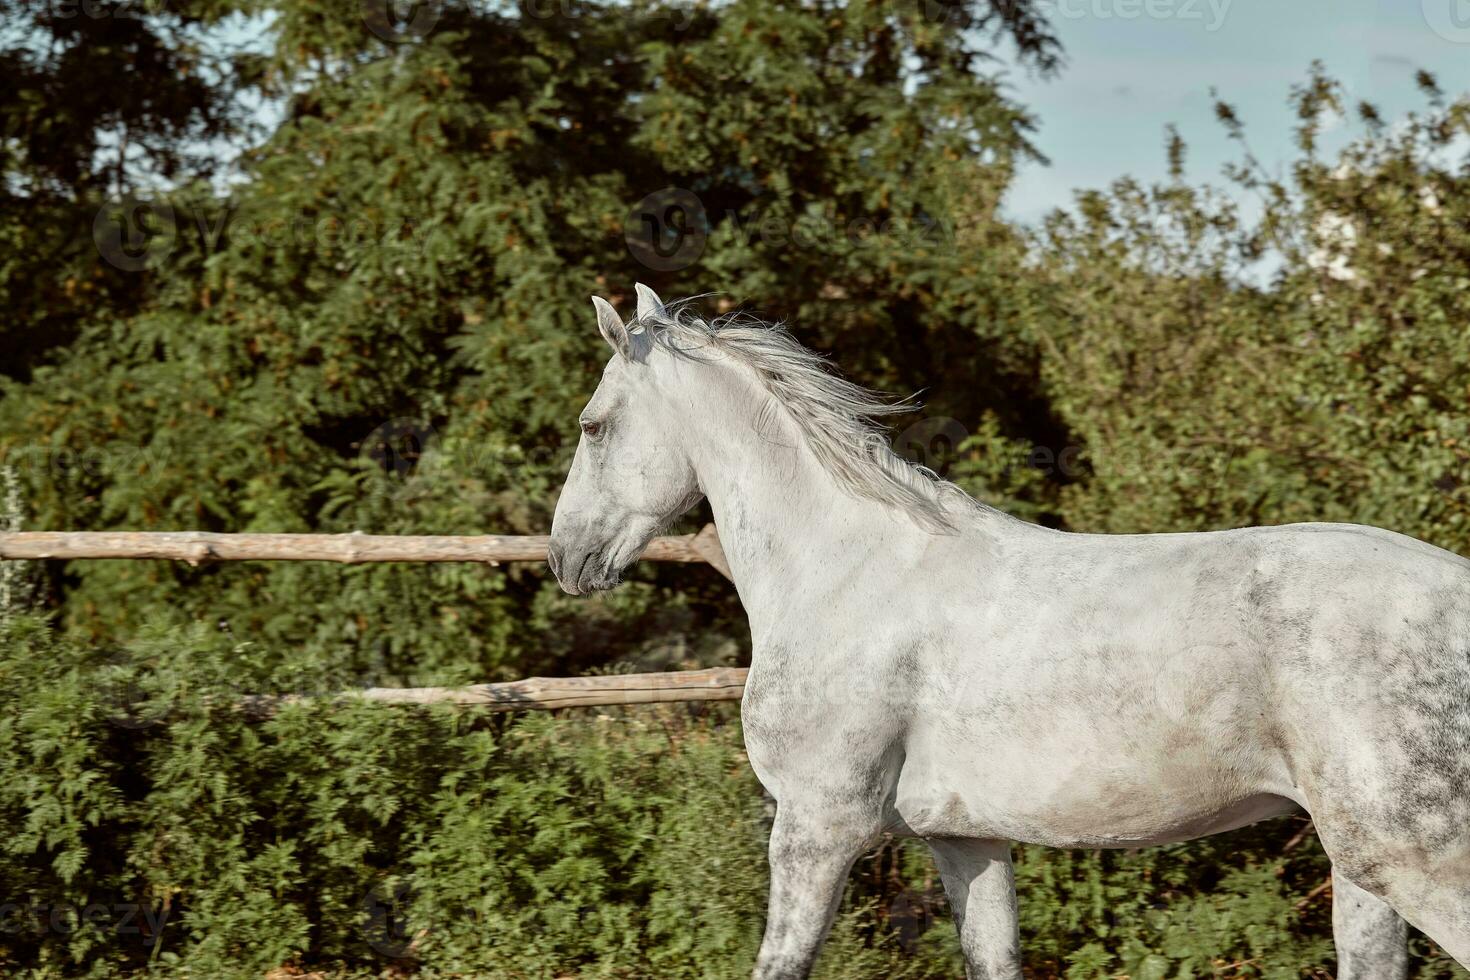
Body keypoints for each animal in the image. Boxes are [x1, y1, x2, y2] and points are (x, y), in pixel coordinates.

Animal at [549, 285, 1470, 980]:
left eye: (594, 425)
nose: (567, 557)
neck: (846, 572)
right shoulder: (966, 838)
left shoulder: (818, 824)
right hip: (1361, 868)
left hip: (1409, 856)